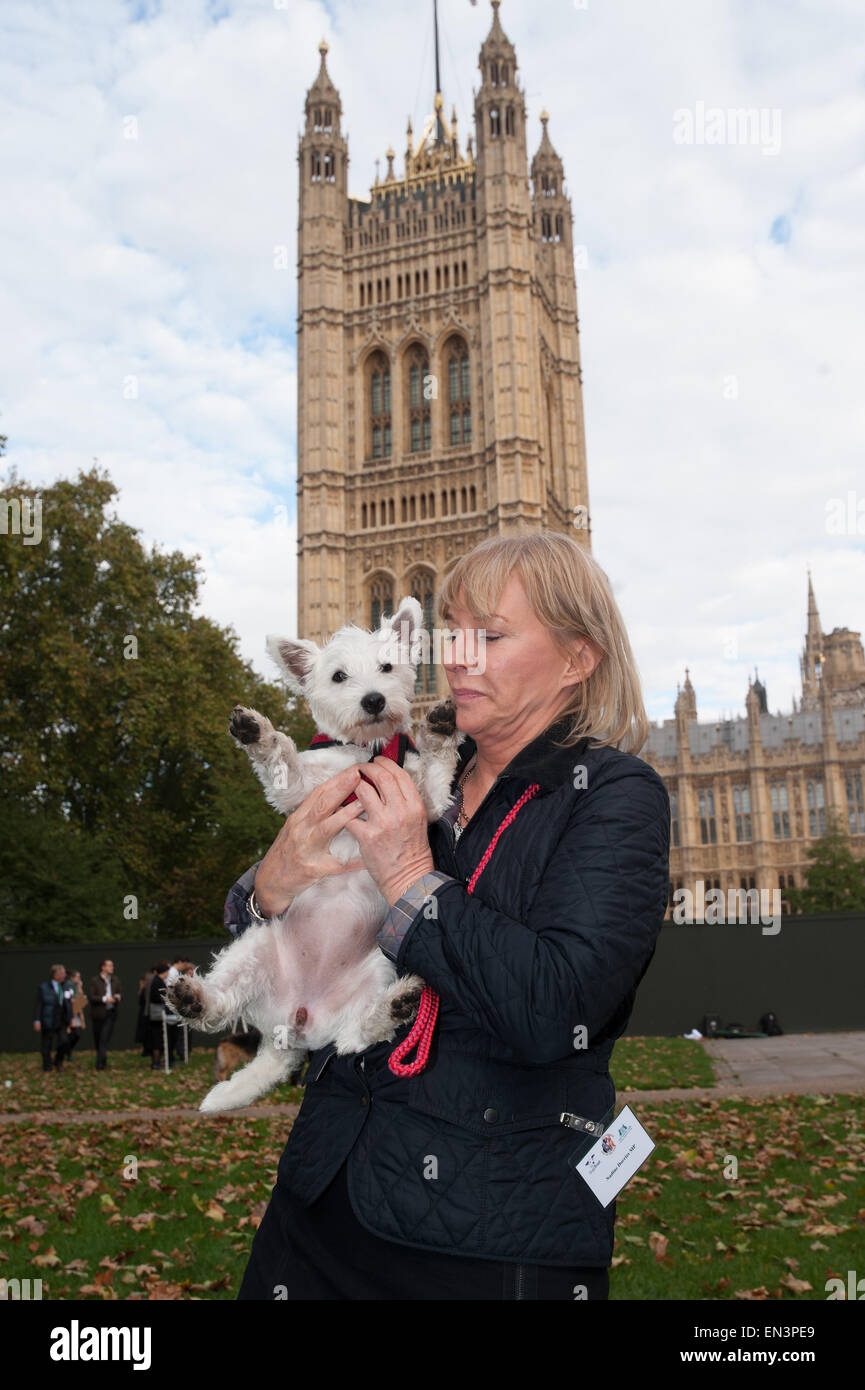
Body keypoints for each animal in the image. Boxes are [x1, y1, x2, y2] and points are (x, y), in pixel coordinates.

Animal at [167, 592, 461, 1112]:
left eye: (387, 666)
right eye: (339, 676)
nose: (373, 699)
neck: (364, 756)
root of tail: (293, 1028)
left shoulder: (421, 803)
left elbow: (436, 771)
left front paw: (442, 731)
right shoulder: (300, 793)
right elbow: (283, 758)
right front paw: (258, 732)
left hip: (380, 963)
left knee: (354, 1036)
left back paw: (397, 1005)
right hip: (256, 948)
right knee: (222, 1003)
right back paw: (193, 999)